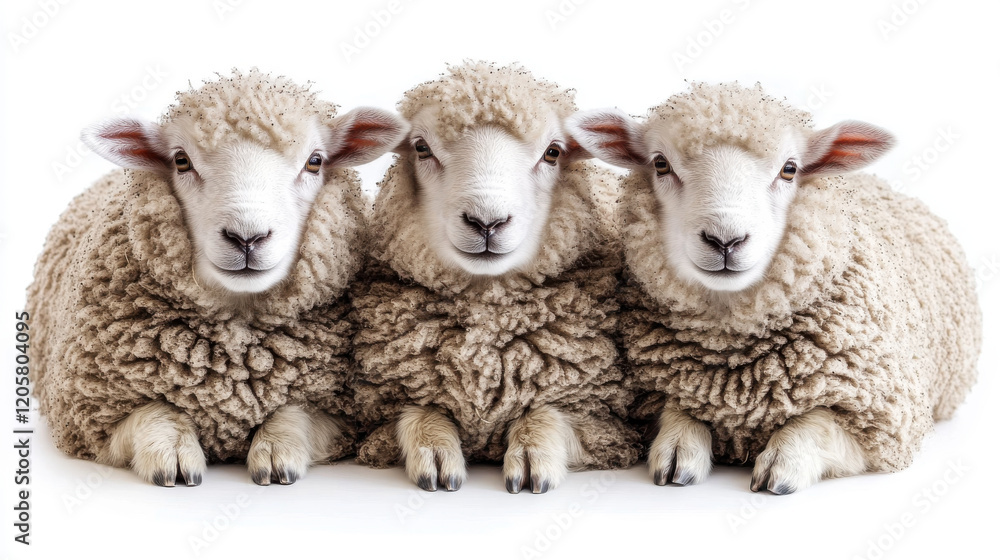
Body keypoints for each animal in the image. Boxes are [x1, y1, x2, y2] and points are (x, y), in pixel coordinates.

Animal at [26, 69, 408, 486]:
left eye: (315, 161)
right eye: (181, 161)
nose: (247, 238)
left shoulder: (339, 416)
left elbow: (296, 412)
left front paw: (277, 449)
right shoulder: (88, 419)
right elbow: (152, 412)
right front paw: (173, 452)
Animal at [351, 62, 641, 493]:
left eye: (553, 152)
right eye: (421, 148)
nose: (486, 222)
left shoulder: (598, 418)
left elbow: (546, 413)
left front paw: (532, 454)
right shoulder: (383, 407)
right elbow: (419, 411)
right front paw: (434, 451)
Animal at [567, 82, 981, 494]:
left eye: (789, 169)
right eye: (660, 164)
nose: (725, 240)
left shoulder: (884, 421)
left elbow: (818, 421)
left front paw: (785, 460)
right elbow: (676, 407)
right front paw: (677, 446)